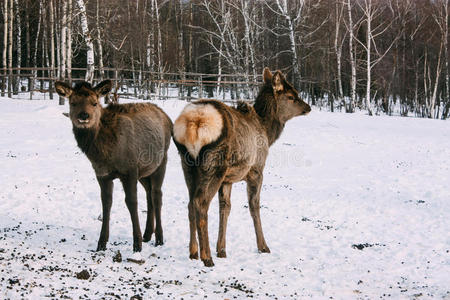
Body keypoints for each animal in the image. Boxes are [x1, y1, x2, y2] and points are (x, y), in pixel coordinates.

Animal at [53, 79, 172, 253]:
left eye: (94, 103)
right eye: (73, 103)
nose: (84, 116)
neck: (104, 153)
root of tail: (167, 117)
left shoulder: (130, 170)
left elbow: (131, 202)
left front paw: (136, 244)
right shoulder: (102, 174)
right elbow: (106, 204)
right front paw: (101, 242)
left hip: (161, 161)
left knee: (157, 196)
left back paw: (159, 238)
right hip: (144, 172)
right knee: (149, 194)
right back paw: (147, 234)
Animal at [173, 68, 312, 268]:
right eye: (292, 96)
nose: (308, 107)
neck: (268, 132)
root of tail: (195, 121)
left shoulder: (228, 179)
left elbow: (225, 208)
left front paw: (222, 249)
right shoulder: (256, 170)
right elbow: (254, 205)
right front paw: (263, 246)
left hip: (188, 164)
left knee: (191, 203)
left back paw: (193, 252)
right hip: (214, 165)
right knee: (200, 203)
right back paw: (206, 257)